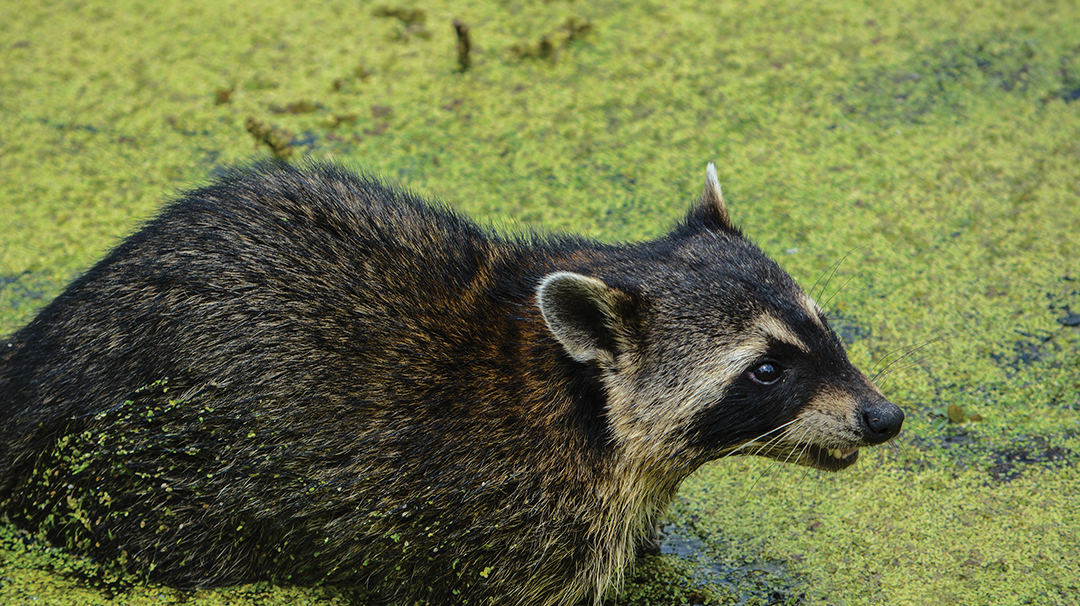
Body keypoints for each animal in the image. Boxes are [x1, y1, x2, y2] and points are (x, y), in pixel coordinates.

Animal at [0, 161, 902, 605]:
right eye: (766, 369)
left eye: (823, 327)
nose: (885, 416)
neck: (575, 395)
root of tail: (32, 361)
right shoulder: (493, 529)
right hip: (140, 477)